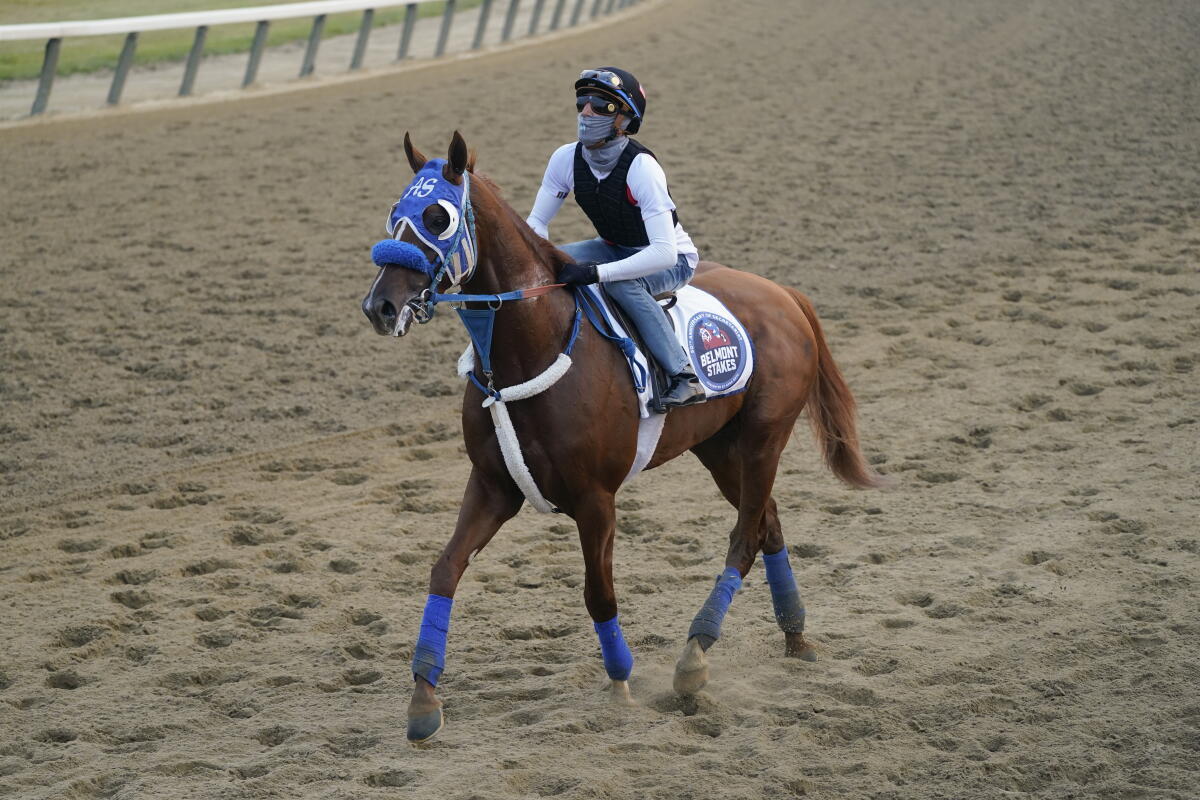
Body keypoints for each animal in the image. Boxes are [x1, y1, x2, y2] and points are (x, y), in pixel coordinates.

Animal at [361, 131, 881, 743]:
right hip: (719, 449)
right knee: (769, 526)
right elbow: (445, 568)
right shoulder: (492, 485)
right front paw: (423, 698)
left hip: (762, 440)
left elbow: (598, 592)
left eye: (438, 217)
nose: (380, 306)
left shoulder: (595, 500)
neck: (528, 349)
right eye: (394, 213)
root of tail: (783, 294)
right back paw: (795, 636)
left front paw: (620, 685)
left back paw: (694, 656)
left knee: (746, 537)